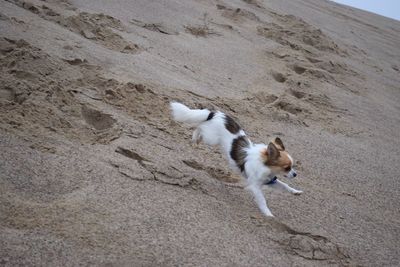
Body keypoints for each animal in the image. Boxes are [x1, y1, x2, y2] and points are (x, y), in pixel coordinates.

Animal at [170, 101, 304, 217]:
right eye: (287, 168)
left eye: (292, 167)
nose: (295, 174)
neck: (265, 166)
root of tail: (216, 113)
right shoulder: (255, 186)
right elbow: (262, 200)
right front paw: (268, 214)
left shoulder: (271, 181)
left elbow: (284, 185)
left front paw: (295, 191)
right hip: (211, 138)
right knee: (199, 127)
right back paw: (194, 138)